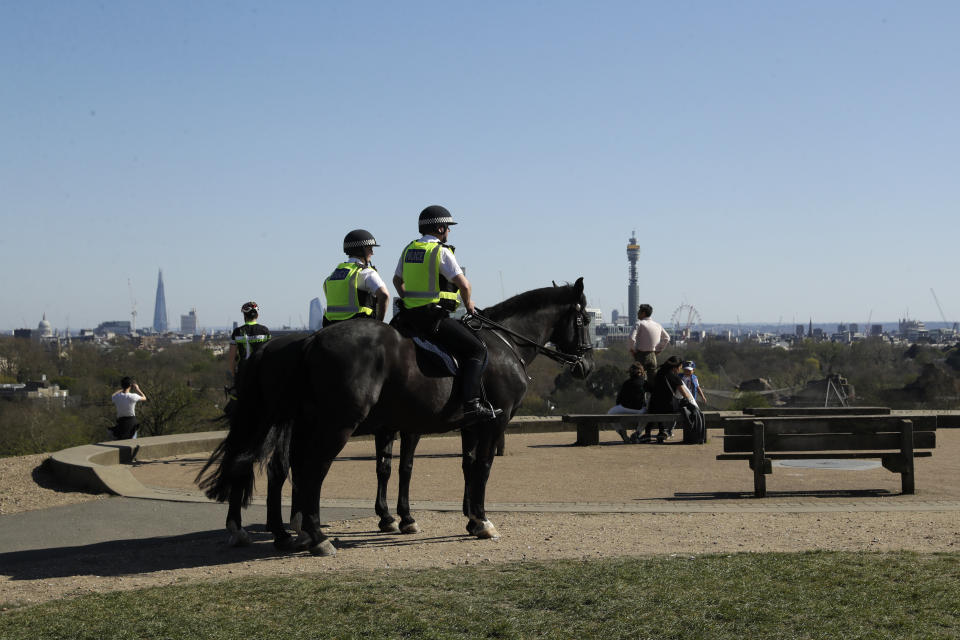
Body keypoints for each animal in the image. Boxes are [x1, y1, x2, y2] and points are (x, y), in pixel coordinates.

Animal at [200, 278, 592, 556]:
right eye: (586, 318)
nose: (585, 365)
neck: (502, 343)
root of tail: (308, 341)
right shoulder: (490, 421)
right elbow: (476, 468)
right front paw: (479, 521)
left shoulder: (461, 423)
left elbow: (447, 466)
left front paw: (459, 517)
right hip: (332, 425)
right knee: (308, 469)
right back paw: (312, 535)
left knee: (276, 467)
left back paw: (285, 531)